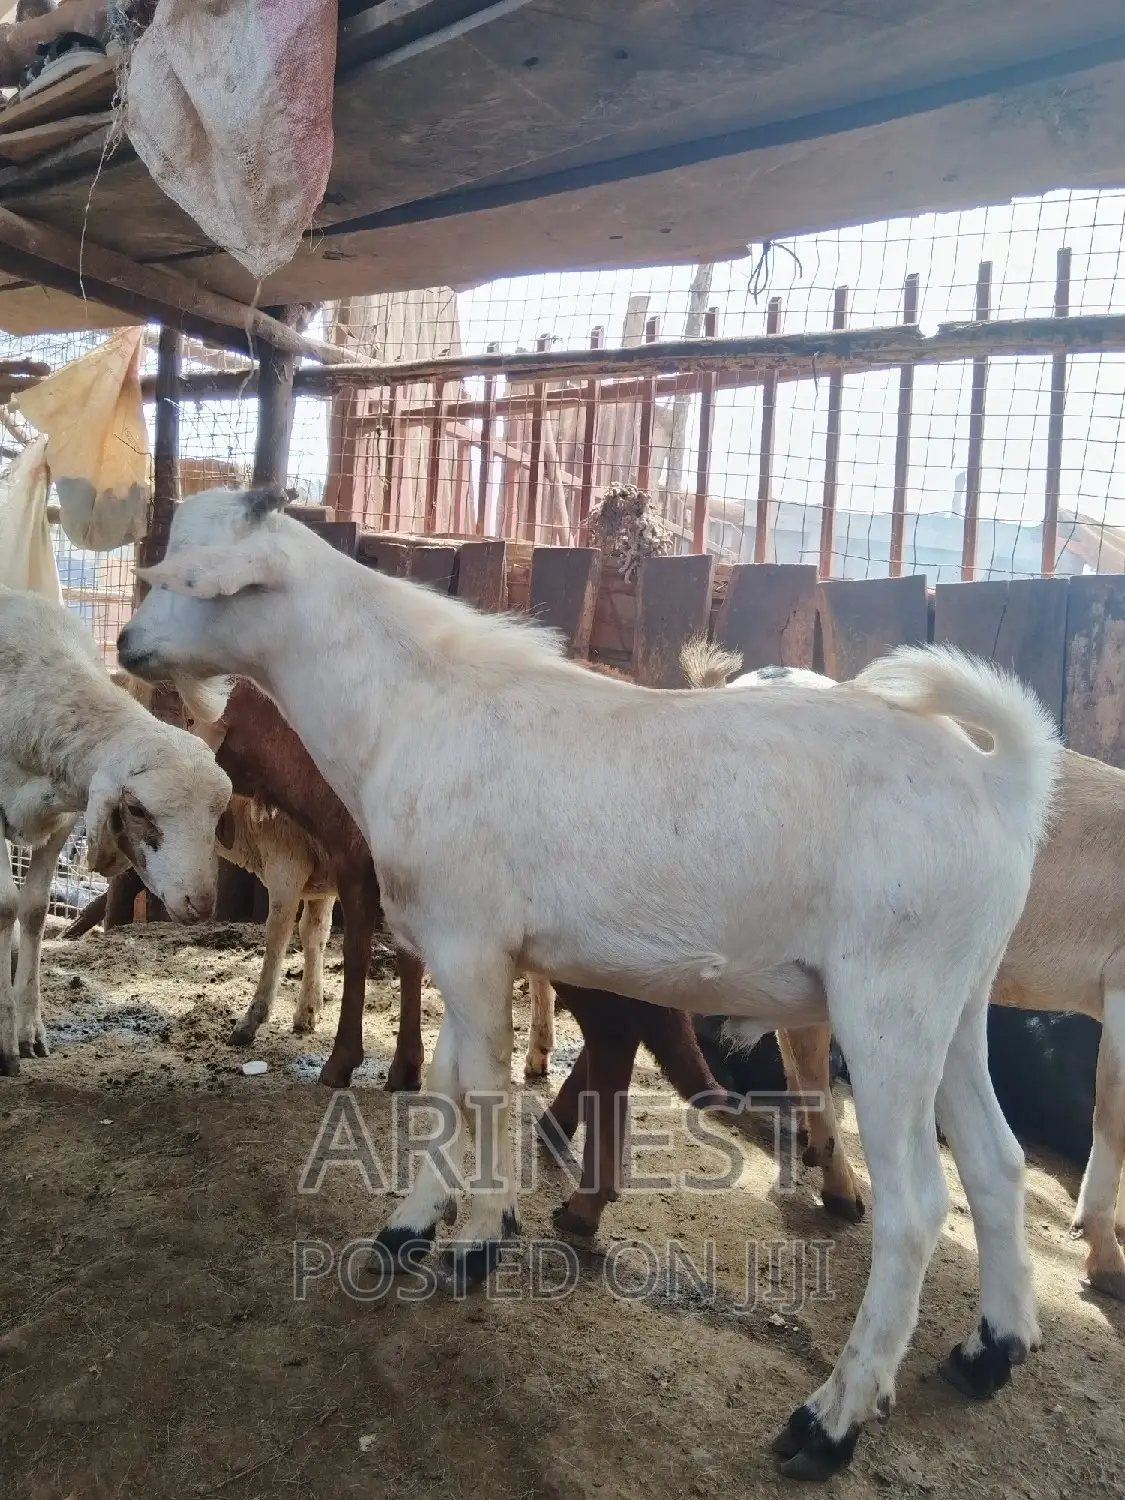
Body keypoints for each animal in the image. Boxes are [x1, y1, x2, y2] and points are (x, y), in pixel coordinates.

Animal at [0, 586, 231, 1076]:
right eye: (138, 810)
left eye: (218, 816)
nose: (199, 904)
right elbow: (5, 906)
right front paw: (6, 1044)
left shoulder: (63, 817)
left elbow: (33, 910)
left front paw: (30, 1033)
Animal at [119, 486, 1061, 1478]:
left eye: (184, 573)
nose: (127, 644)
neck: (409, 710)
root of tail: (999, 780)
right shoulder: (466, 948)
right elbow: (449, 1086)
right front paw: (413, 1224)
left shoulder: (471, 942)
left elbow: (483, 1090)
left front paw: (475, 1241)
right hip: (956, 999)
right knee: (995, 1163)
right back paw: (990, 1351)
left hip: (889, 999)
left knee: (917, 1207)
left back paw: (829, 1421)